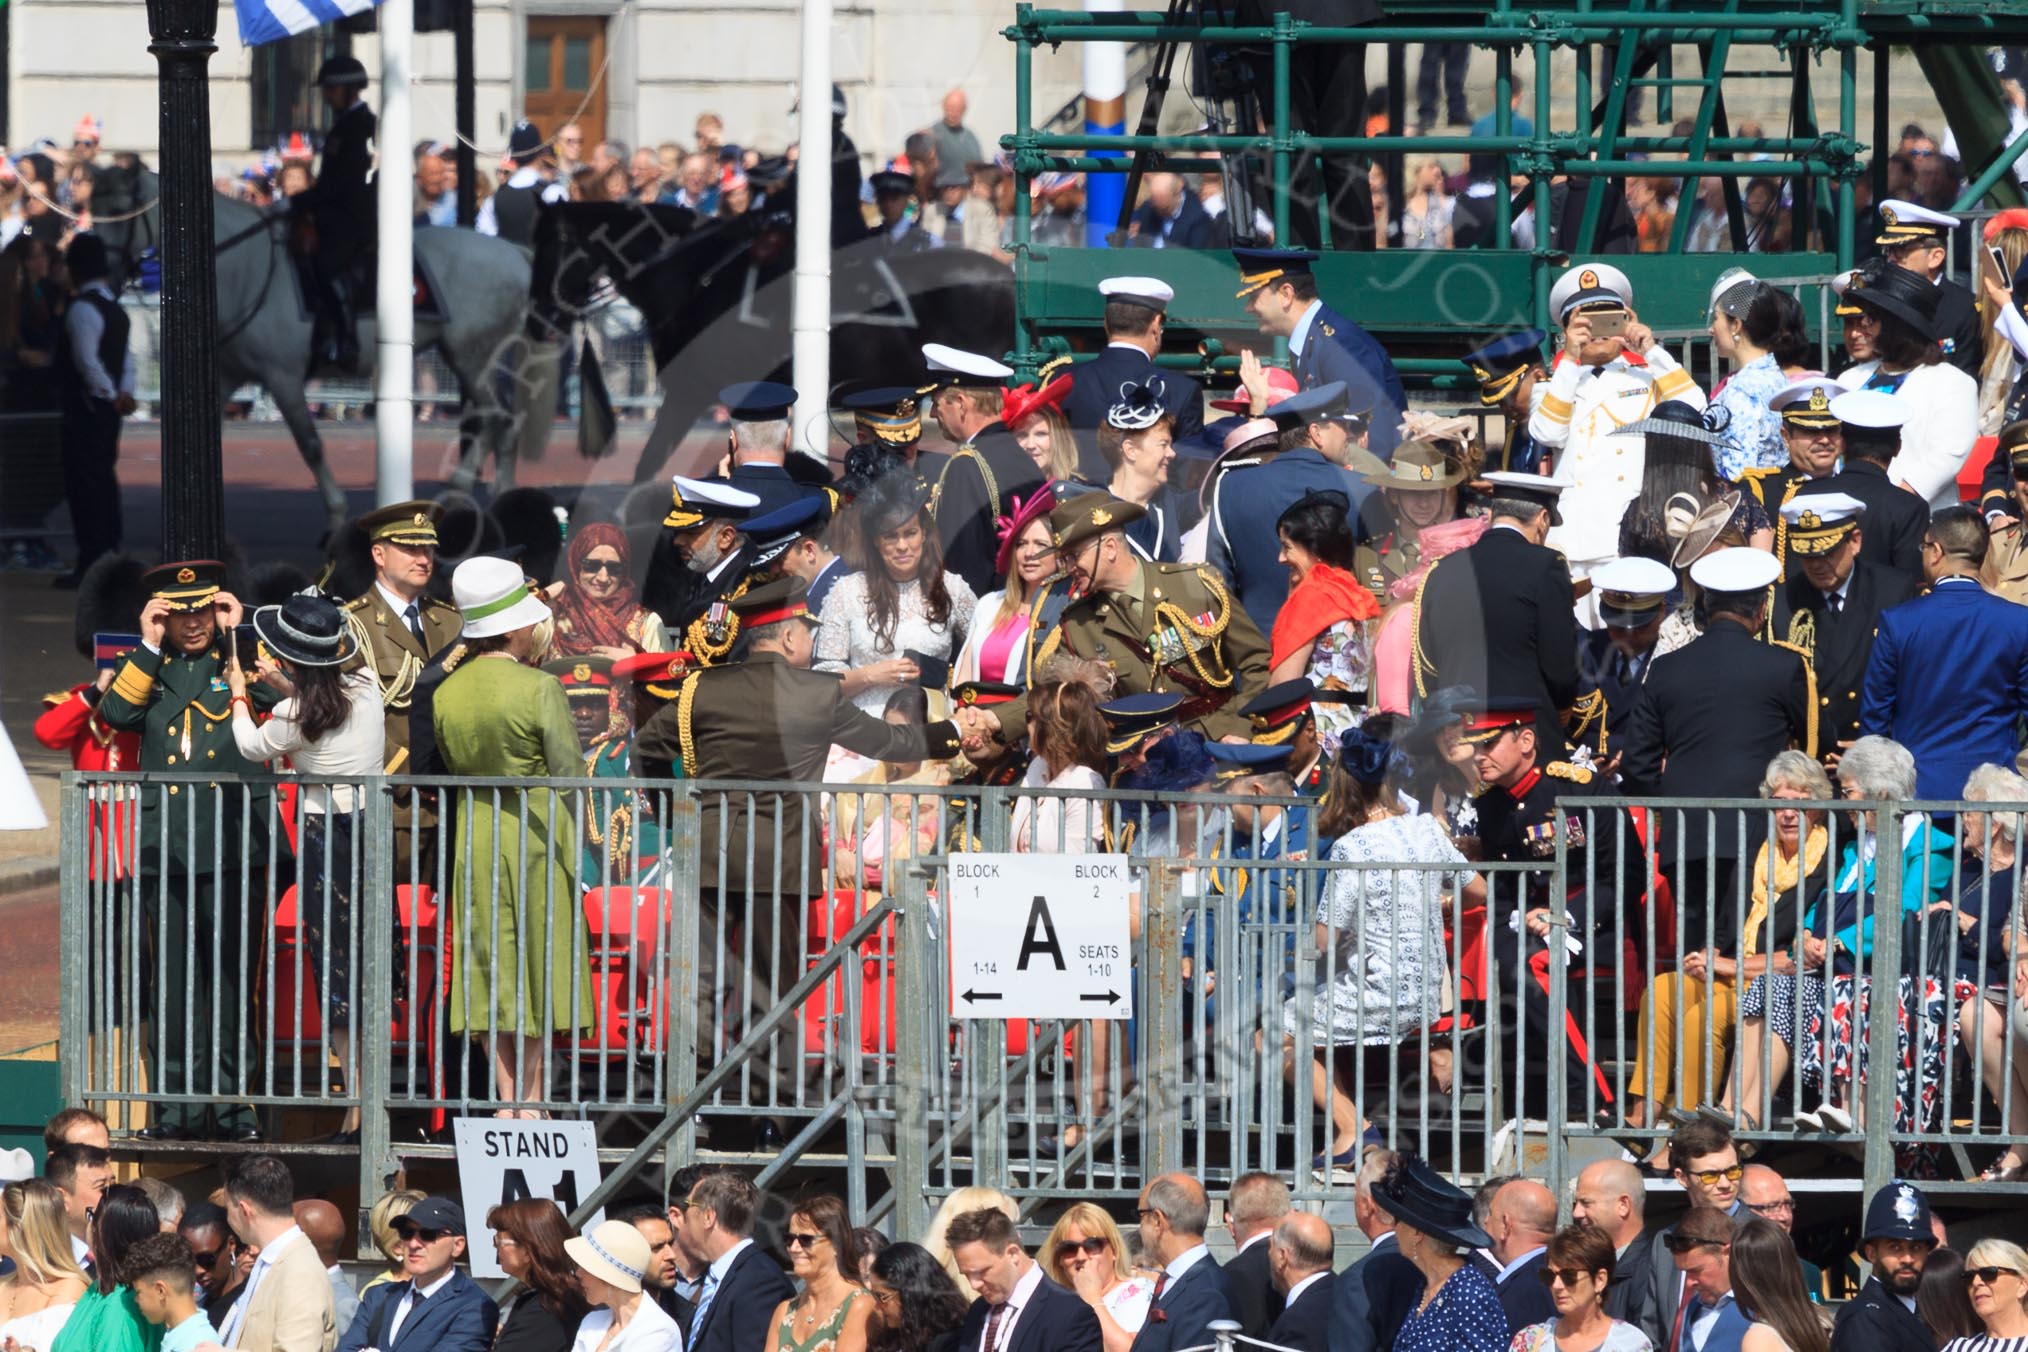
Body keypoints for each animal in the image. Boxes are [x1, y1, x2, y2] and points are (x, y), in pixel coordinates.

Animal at [93, 164, 539, 535]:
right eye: (91, 208)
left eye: (119, 210)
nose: (104, 270)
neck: (241, 267)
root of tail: (514, 253)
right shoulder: (225, 376)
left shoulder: (283, 377)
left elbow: (310, 446)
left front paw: (338, 516)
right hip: (484, 357)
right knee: (507, 420)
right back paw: (502, 499)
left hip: (470, 355)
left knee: (494, 416)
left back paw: (460, 491)